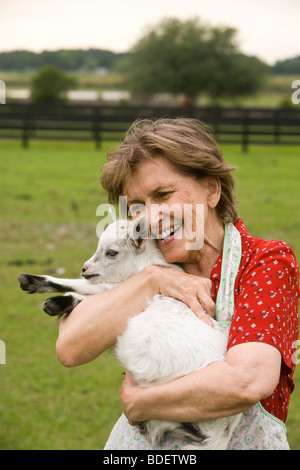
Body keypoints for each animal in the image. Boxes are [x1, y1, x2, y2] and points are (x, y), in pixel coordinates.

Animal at [18, 216, 239, 448]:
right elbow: (85, 290)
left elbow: (85, 289)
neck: (149, 264)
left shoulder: (117, 288)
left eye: (112, 252)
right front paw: (33, 285)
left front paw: (46, 294)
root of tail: (220, 434)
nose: (85, 269)